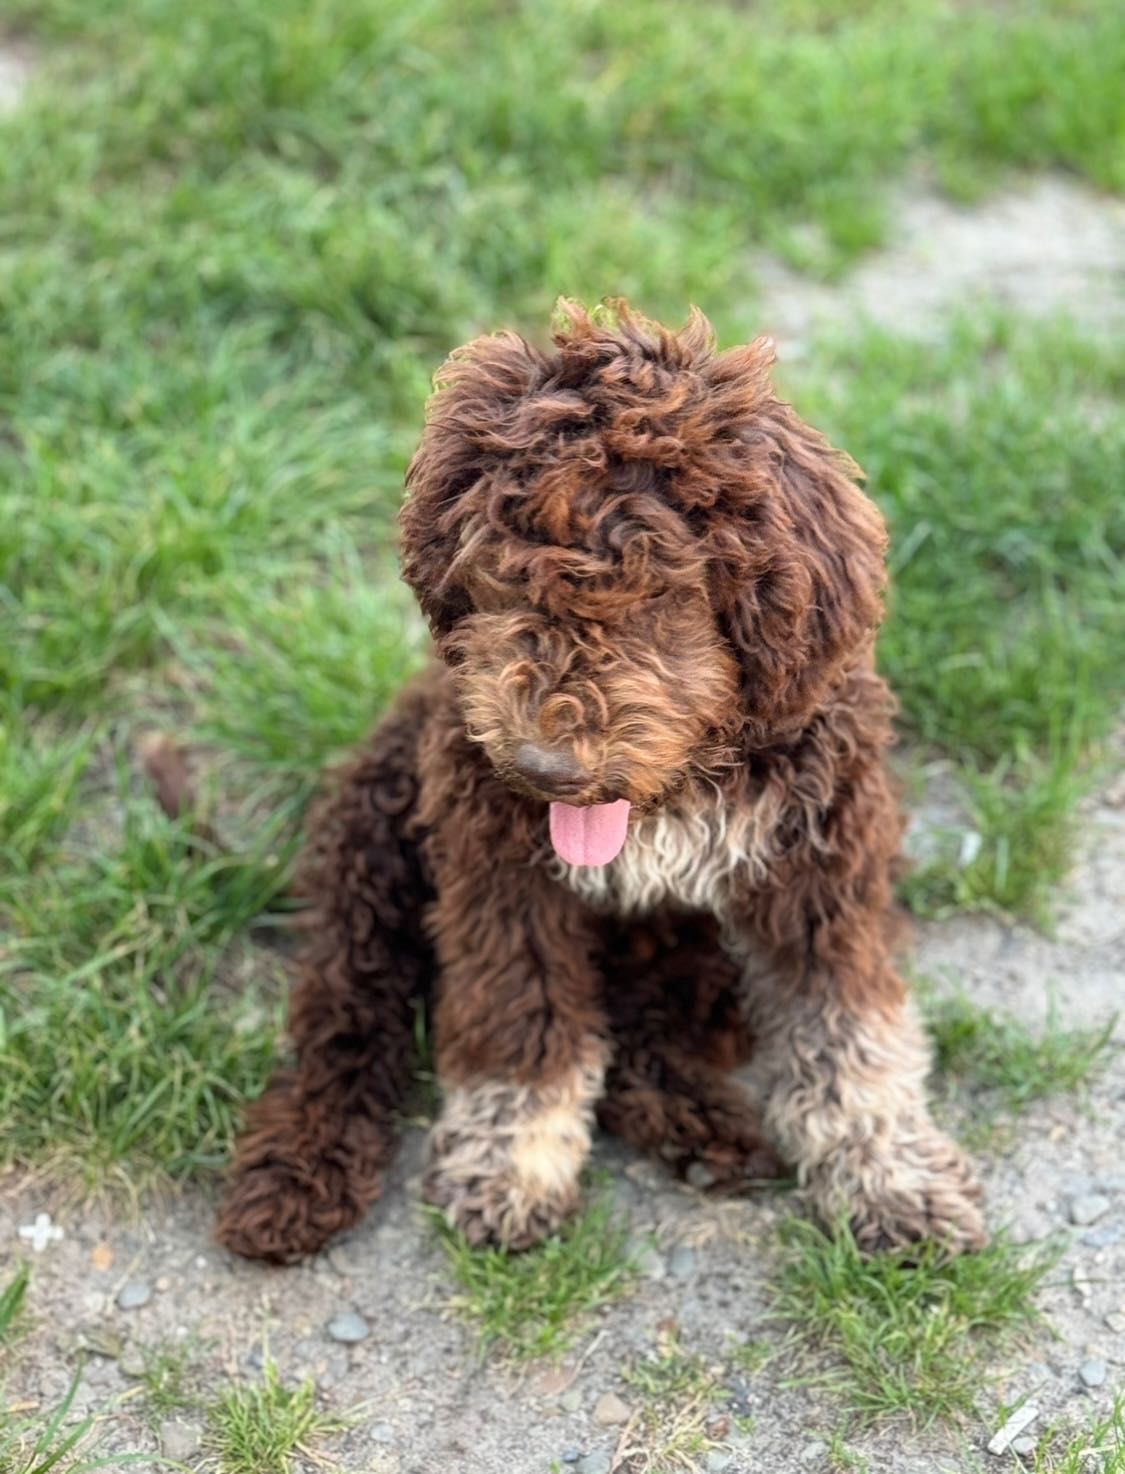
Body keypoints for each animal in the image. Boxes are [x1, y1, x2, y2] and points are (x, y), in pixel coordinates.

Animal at [213, 302, 984, 1267]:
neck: (674, 790)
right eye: (498, 575)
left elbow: (843, 1031)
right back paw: (295, 1173)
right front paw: (508, 1164)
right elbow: (521, 1021)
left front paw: (890, 1177)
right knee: (345, 1021)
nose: (547, 768)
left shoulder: (821, 874)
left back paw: (702, 1132)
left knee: (647, 1032)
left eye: (658, 593)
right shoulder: (499, 879)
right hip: (374, 860)